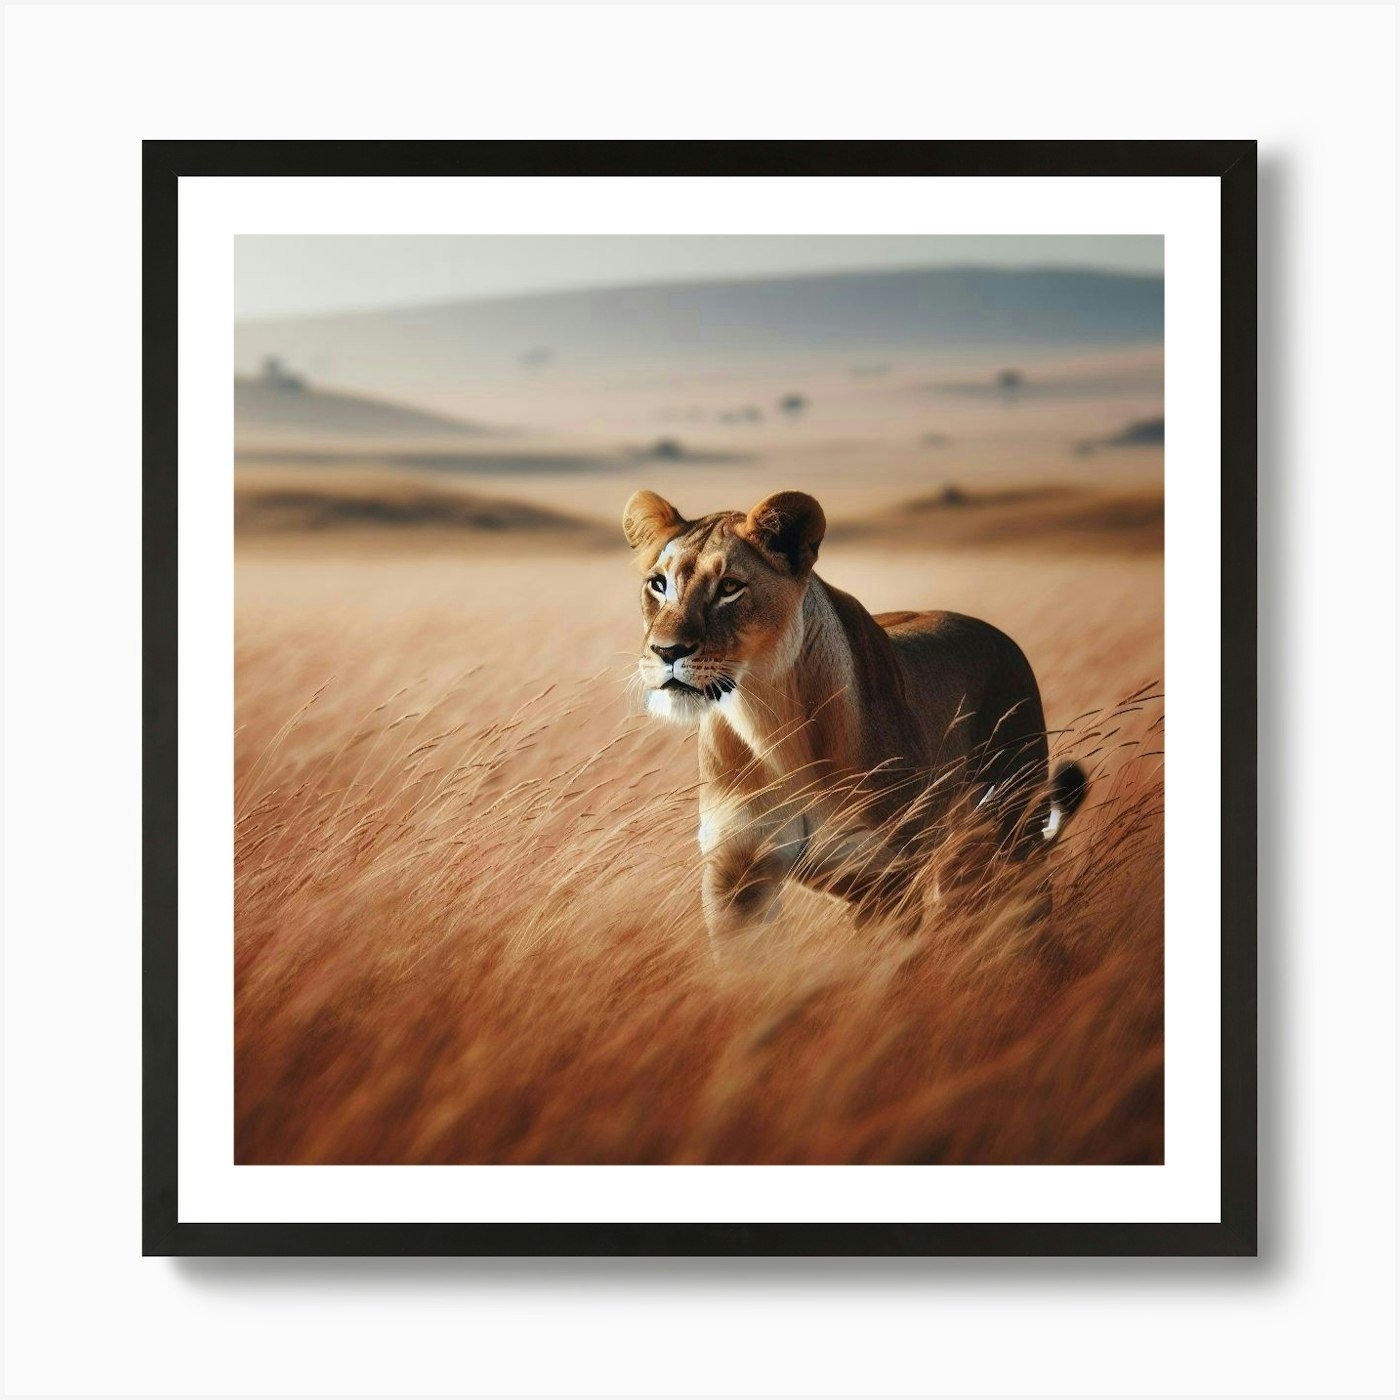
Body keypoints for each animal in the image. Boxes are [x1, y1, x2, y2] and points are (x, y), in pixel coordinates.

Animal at [623, 488, 1087, 944]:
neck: (770, 722)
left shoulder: (881, 878)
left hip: (1016, 830)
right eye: (658, 585)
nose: (666, 650)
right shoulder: (737, 876)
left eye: (730, 587)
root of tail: (1000, 635)